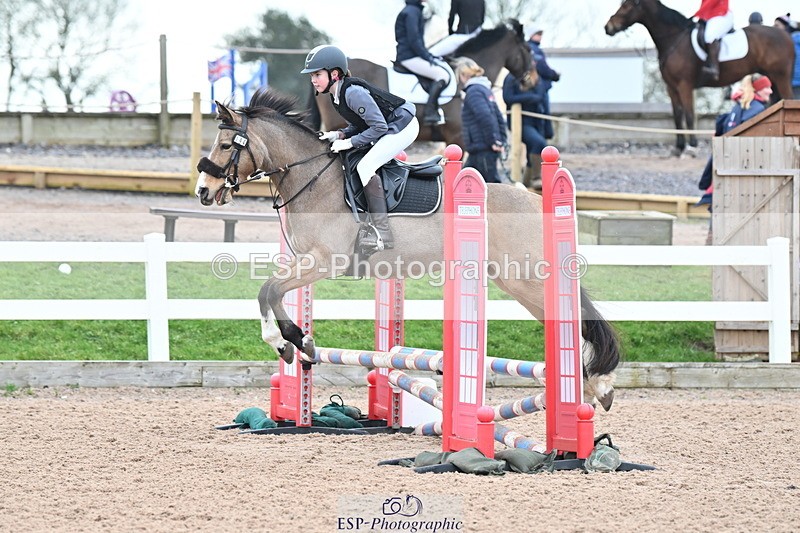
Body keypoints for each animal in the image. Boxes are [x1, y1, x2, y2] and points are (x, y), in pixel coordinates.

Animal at [195, 88, 622, 411]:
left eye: (225, 144)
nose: (202, 191)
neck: (311, 178)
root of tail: (537, 200)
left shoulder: (325, 262)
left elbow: (267, 290)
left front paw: (284, 342)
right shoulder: (304, 261)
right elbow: (272, 292)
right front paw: (300, 341)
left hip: (526, 279)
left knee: (572, 318)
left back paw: (595, 386)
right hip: (513, 281)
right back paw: (591, 389)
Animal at [604, 0, 796, 156]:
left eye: (626, 5)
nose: (608, 27)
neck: (674, 39)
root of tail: (785, 35)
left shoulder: (684, 85)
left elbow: (689, 115)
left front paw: (692, 147)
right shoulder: (671, 87)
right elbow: (677, 115)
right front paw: (678, 148)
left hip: (781, 77)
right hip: (772, 79)